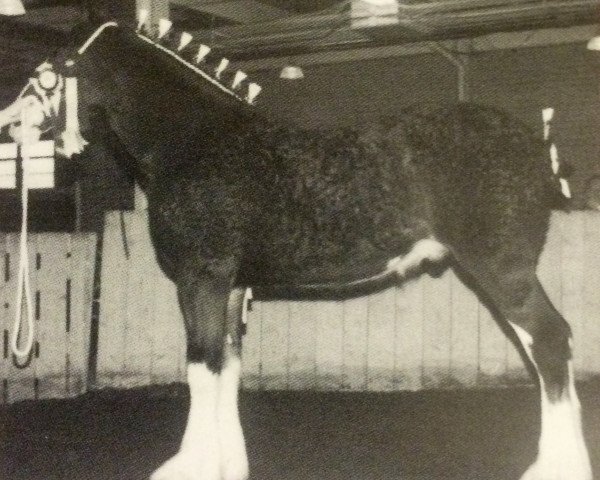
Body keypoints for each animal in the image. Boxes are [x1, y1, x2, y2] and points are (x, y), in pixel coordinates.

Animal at [0, 15, 592, 480]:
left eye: (53, 67)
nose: (10, 125)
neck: (195, 142)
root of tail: (534, 147)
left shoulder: (202, 279)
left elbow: (199, 364)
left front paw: (191, 466)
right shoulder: (232, 287)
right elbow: (225, 368)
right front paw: (228, 465)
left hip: (502, 271)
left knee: (549, 341)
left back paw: (558, 468)